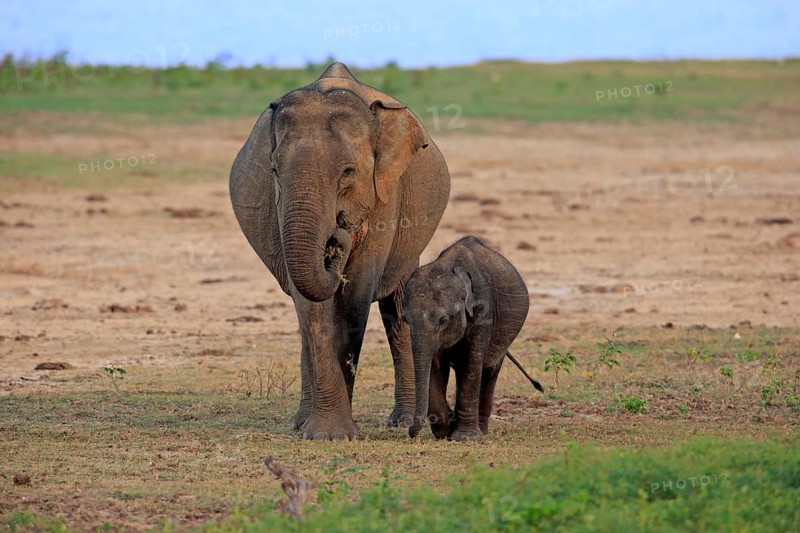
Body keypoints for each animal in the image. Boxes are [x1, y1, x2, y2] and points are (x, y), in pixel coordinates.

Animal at [229, 62, 450, 440]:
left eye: (349, 171)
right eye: (273, 169)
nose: (337, 235)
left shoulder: (385, 194)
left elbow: (354, 297)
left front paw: (339, 434)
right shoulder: (280, 206)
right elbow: (310, 304)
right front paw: (326, 434)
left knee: (398, 307)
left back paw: (402, 422)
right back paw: (299, 423)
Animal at [403, 236, 542, 441]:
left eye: (443, 320)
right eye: (405, 319)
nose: (411, 433)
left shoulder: (484, 310)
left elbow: (472, 361)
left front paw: (465, 438)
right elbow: (435, 364)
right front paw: (444, 431)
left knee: (489, 369)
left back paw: (481, 430)